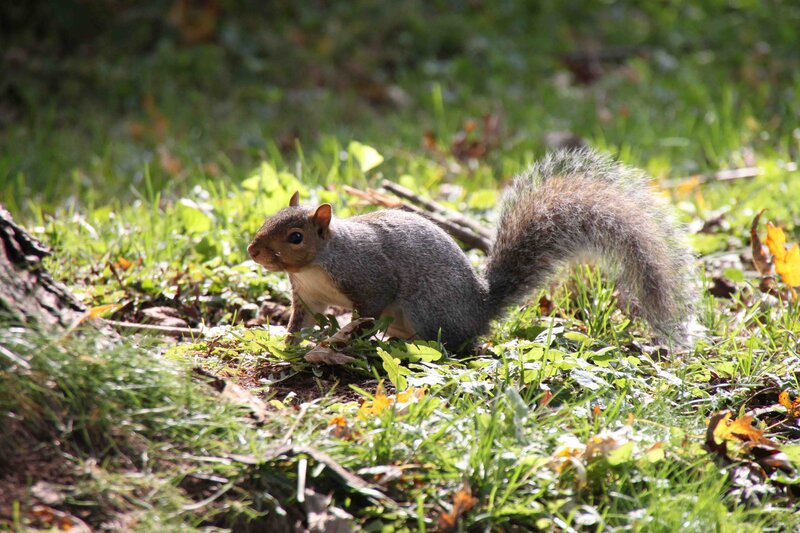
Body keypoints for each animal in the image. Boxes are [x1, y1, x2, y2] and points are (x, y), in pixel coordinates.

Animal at [247, 149, 696, 350]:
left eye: (295, 237)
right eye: (269, 217)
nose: (252, 250)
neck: (316, 266)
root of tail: (479, 308)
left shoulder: (368, 275)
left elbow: (368, 310)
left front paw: (342, 339)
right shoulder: (306, 296)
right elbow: (300, 321)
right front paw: (286, 343)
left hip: (426, 308)